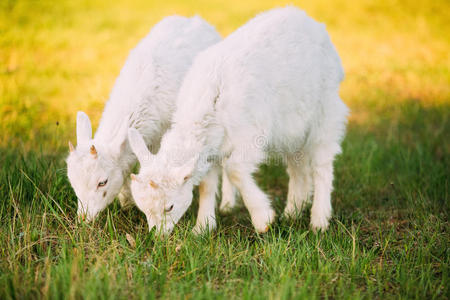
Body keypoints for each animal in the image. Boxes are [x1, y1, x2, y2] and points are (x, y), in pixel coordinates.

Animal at [128, 7, 350, 236]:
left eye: (169, 207)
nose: (157, 236)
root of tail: (312, 23)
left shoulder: (251, 136)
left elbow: (234, 170)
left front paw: (263, 219)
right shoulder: (212, 146)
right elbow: (206, 185)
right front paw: (202, 227)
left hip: (325, 111)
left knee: (322, 165)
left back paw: (319, 221)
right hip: (292, 128)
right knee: (298, 167)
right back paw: (293, 211)